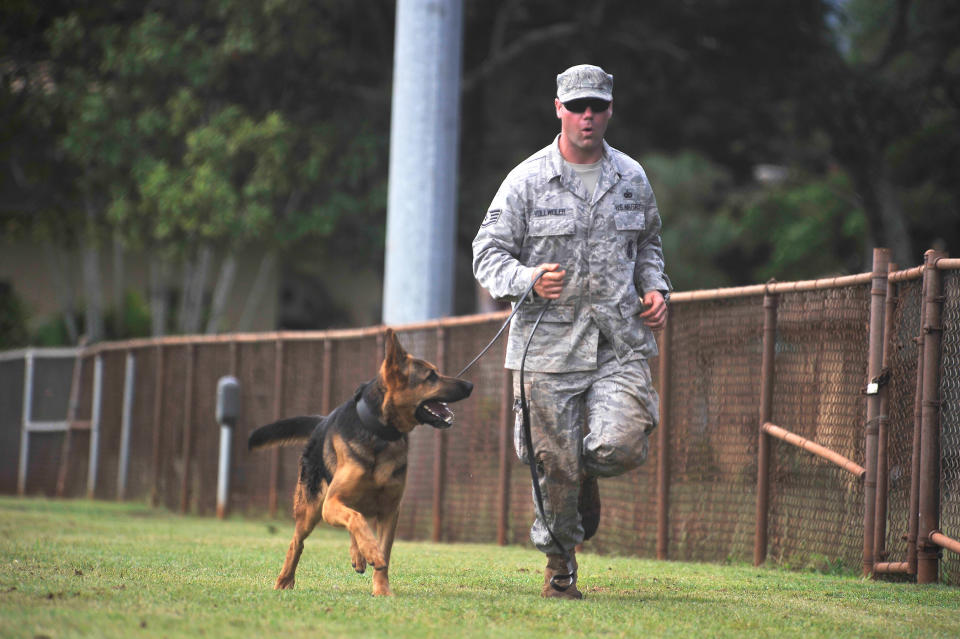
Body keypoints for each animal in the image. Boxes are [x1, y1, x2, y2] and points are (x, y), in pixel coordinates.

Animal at [248, 328, 472, 596]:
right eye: (431, 376)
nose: (470, 385)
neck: (380, 433)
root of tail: (321, 423)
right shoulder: (331, 504)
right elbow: (358, 522)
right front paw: (372, 551)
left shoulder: (389, 511)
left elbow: (382, 550)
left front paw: (382, 588)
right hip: (310, 510)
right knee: (297, 542)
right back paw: (285, 580)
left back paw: (358, 555)